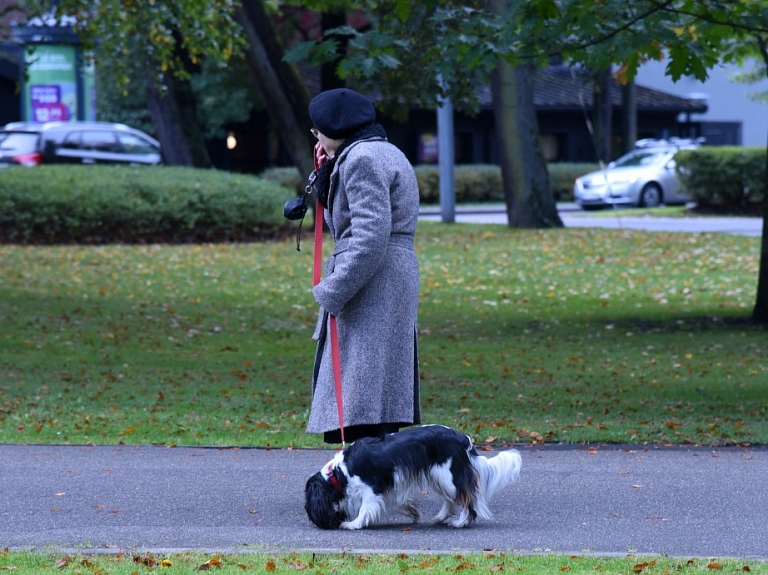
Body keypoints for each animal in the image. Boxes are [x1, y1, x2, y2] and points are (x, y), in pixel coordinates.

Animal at [306, 426, 520, 528]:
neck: (339, 472)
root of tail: (463, 438)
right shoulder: (389, 486)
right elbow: (397, 503)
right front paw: (412, 513)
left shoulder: (371, 489)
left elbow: (365, 509)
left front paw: (353, 524)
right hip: (438, 476)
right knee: (451, 499)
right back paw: (441, 516)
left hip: (448, 476)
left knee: (466, 500)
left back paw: (460, 522)